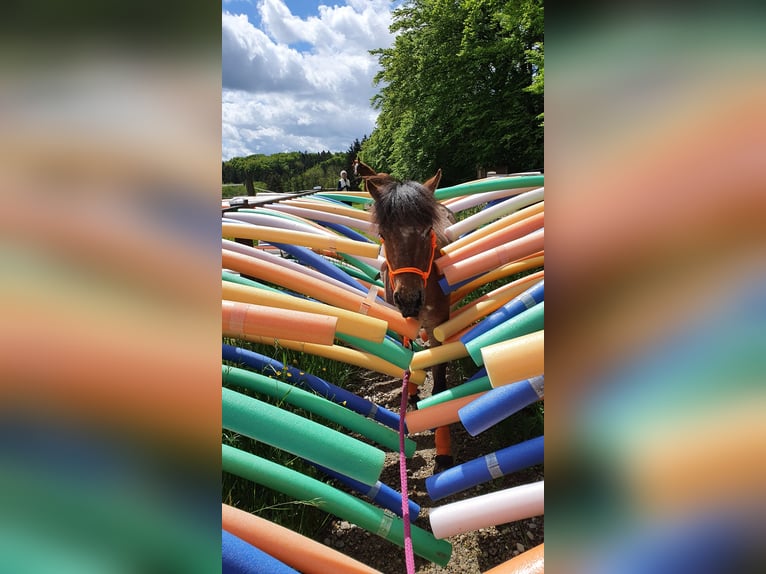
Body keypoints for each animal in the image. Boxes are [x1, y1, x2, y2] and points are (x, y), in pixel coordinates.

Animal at [358, 161, 460, 472]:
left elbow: (439, 381)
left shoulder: (439, 324)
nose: (410, 299)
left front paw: (443, 449)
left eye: (428, 231)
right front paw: (411, 394)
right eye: (383, 235)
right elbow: (407, 358)